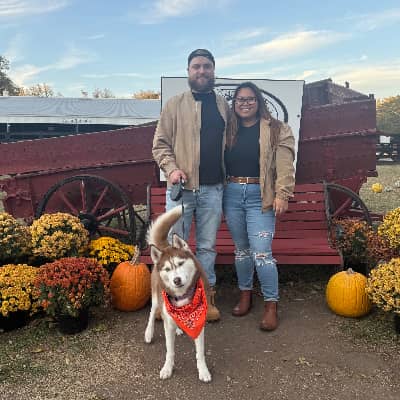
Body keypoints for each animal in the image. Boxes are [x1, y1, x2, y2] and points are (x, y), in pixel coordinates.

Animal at [144, 205, 212, 382]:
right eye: (168, 269)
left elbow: (200, 353)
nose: (176, 280)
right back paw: (149, 332)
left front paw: (203, 370)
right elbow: (170, 350)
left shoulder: (199, 324)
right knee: (152, 313)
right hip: (156, 298)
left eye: (180, 263)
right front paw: (167, 368)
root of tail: (165, 246)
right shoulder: (168, 322)